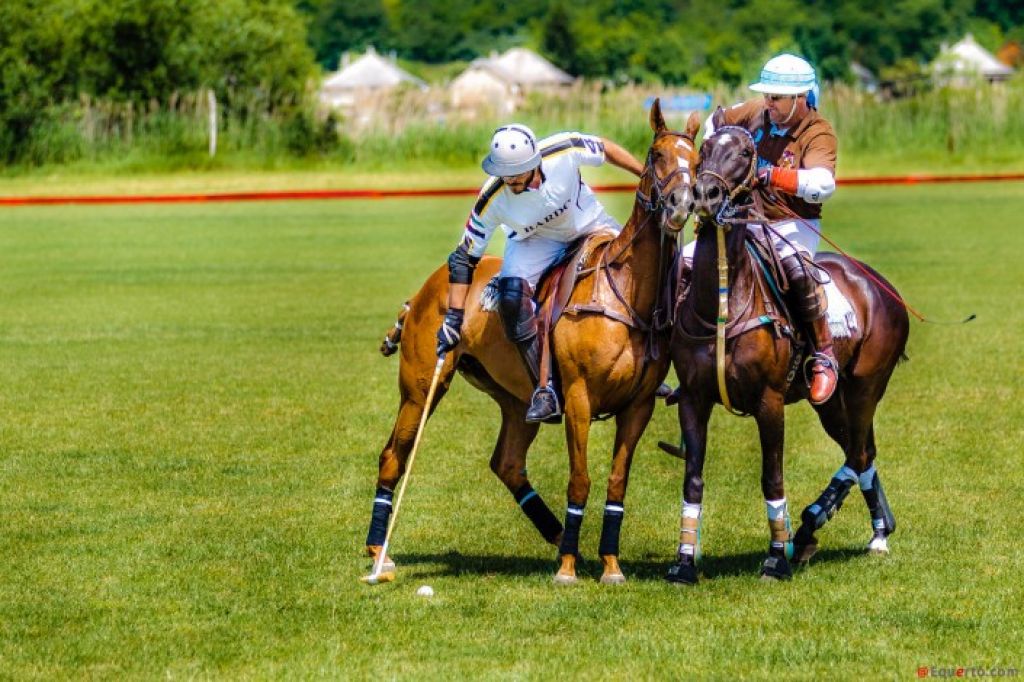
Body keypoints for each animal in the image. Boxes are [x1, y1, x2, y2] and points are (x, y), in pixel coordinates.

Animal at [364, 102, 700, 585]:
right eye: (656, 155)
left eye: (697, 157)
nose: (681, 204)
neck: (625, 291)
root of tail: (424, 291)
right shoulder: (578, 396)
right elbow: (581, 480)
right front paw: (568, 569)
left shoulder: (639, 406)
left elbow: (616, 484)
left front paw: (609, 564)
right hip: (421, 385)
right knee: (393, 454)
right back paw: (378, 553)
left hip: (514, 397)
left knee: (506, 462)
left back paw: (557, 533)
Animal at [663, 124, 913, 581]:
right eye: (705, 148)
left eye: (746, 153)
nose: (706, 194)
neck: (723, 300)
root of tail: (882, 284)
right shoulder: (693, 398)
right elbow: (693, 479)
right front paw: (684, 561)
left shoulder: (769, 401)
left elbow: (772, 478)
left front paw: (776, 557)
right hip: (830, 401)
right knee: (862, 450)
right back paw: (874, 529)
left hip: (867, 384)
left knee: (858, 451)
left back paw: (821, 523)